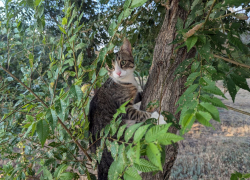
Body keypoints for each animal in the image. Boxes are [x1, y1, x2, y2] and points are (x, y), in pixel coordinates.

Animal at [89, 38, 165, 179]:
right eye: (111, 67)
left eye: (123, 62)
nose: (118, 72)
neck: (126, 81)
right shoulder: (124, 108)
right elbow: (139, 113)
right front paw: (157, 117)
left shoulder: (134, 97)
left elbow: (139, 94)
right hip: (121, 136)